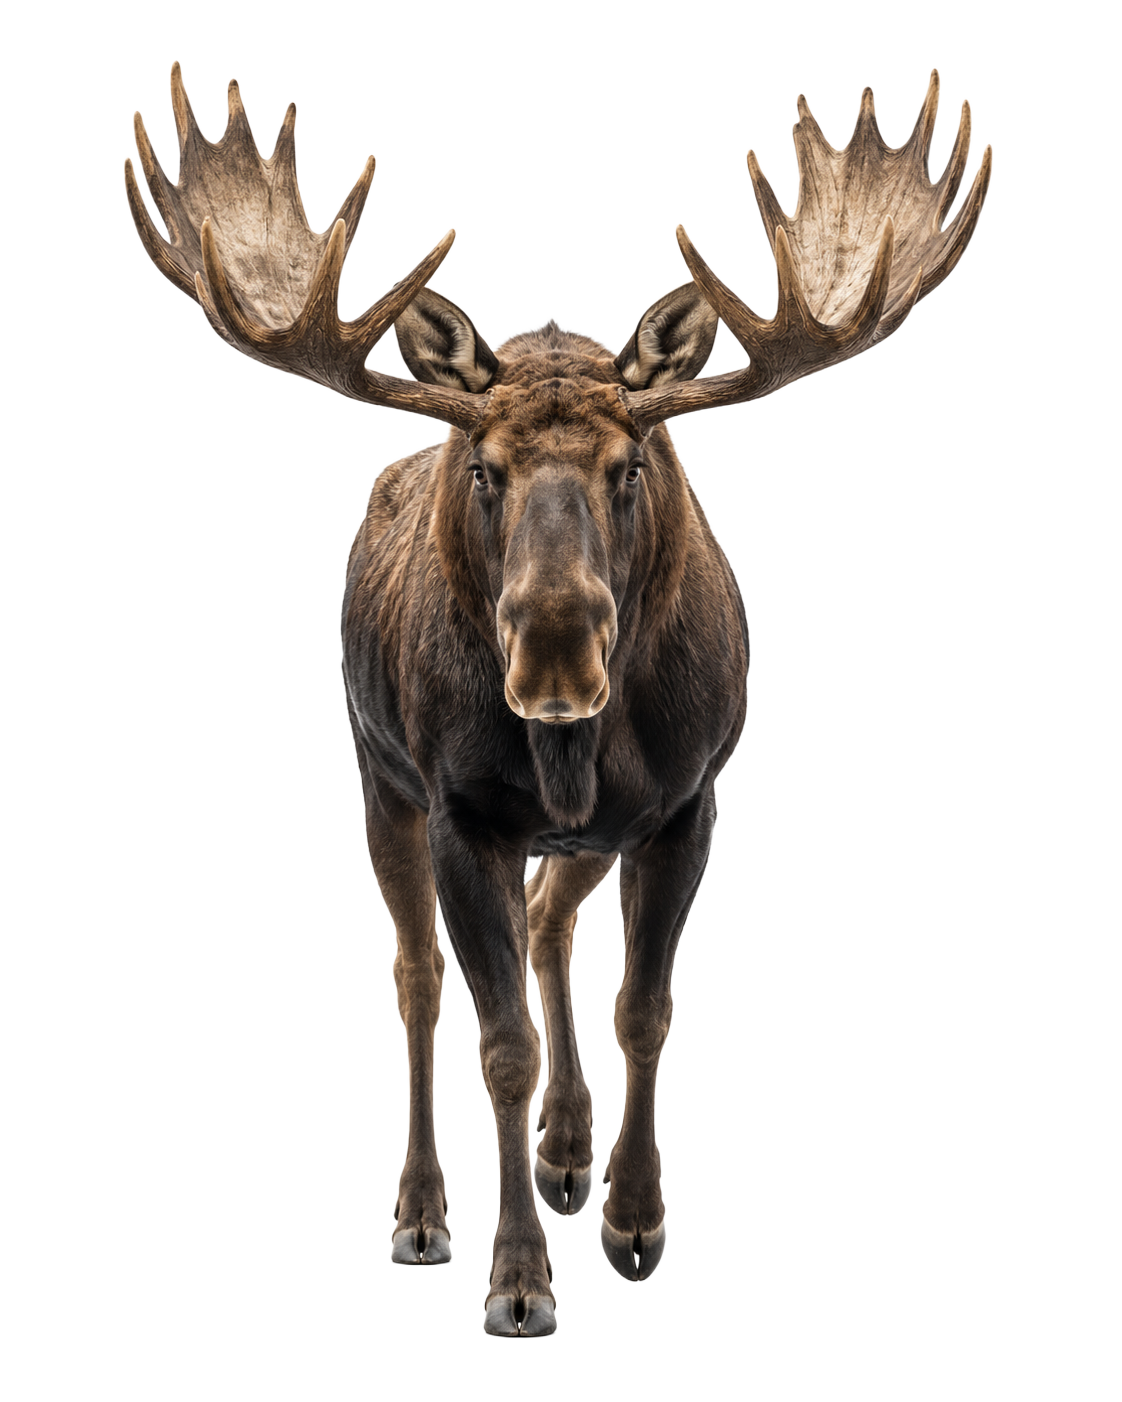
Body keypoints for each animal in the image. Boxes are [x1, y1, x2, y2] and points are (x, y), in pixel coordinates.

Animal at [126, 64, 990, 1337]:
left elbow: (646, 1007)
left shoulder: (687, 802)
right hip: (377, 776)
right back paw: (424, 1206)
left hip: (589, 830)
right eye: (484, 468)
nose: (555, 663)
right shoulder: (462, 811)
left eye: (631, 467)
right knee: (419, 979)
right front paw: (517, 1276)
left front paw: (634, 1212)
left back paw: (570, 1150)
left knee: (550, 919)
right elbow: (501, 1045)